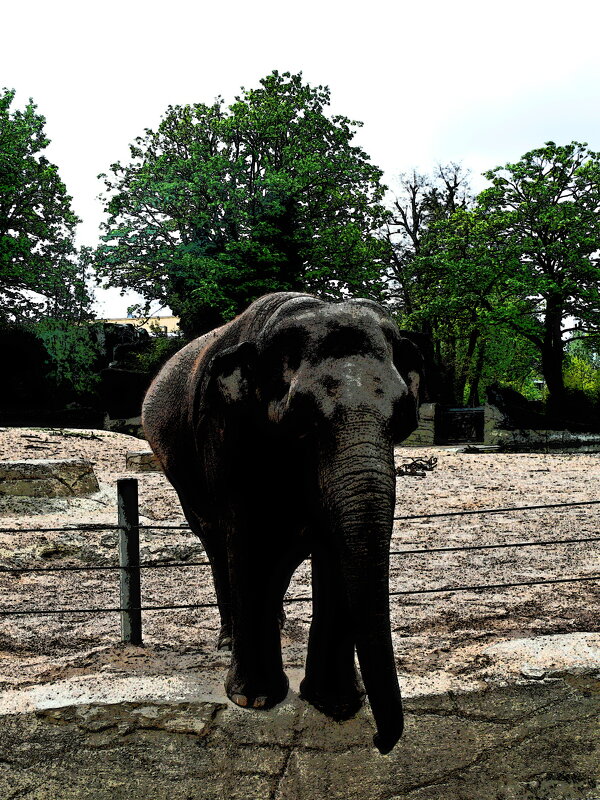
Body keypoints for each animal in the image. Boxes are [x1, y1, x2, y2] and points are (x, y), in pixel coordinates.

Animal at [142, 290, 424, 752]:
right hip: (181, 475)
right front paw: (253, 700)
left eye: (401, 417)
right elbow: (249, 536)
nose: (380, 742)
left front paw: (337, 704)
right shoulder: (226, 431)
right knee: (216, 543)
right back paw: (228, 640)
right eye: (303, 419)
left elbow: (331, 547)